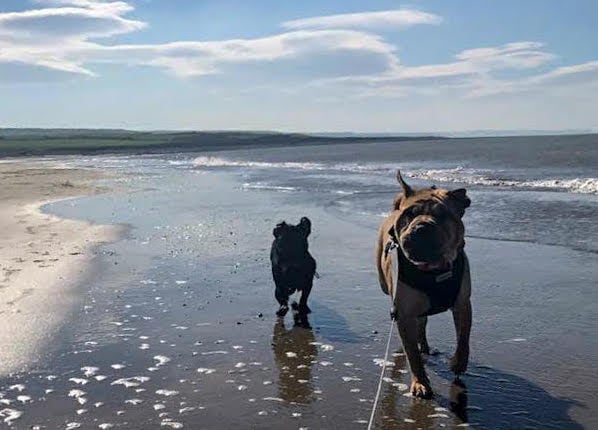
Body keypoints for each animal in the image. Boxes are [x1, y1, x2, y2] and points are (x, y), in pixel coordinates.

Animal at [376, 170, 474, 398]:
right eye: (410, 214)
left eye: (443, 215)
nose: (422, 226)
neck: (433, 270)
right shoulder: (404, 312)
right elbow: (413, 356)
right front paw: (420, 382)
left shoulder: (463, 303)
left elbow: (463, 337)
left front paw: (459, 363)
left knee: (423, 324)